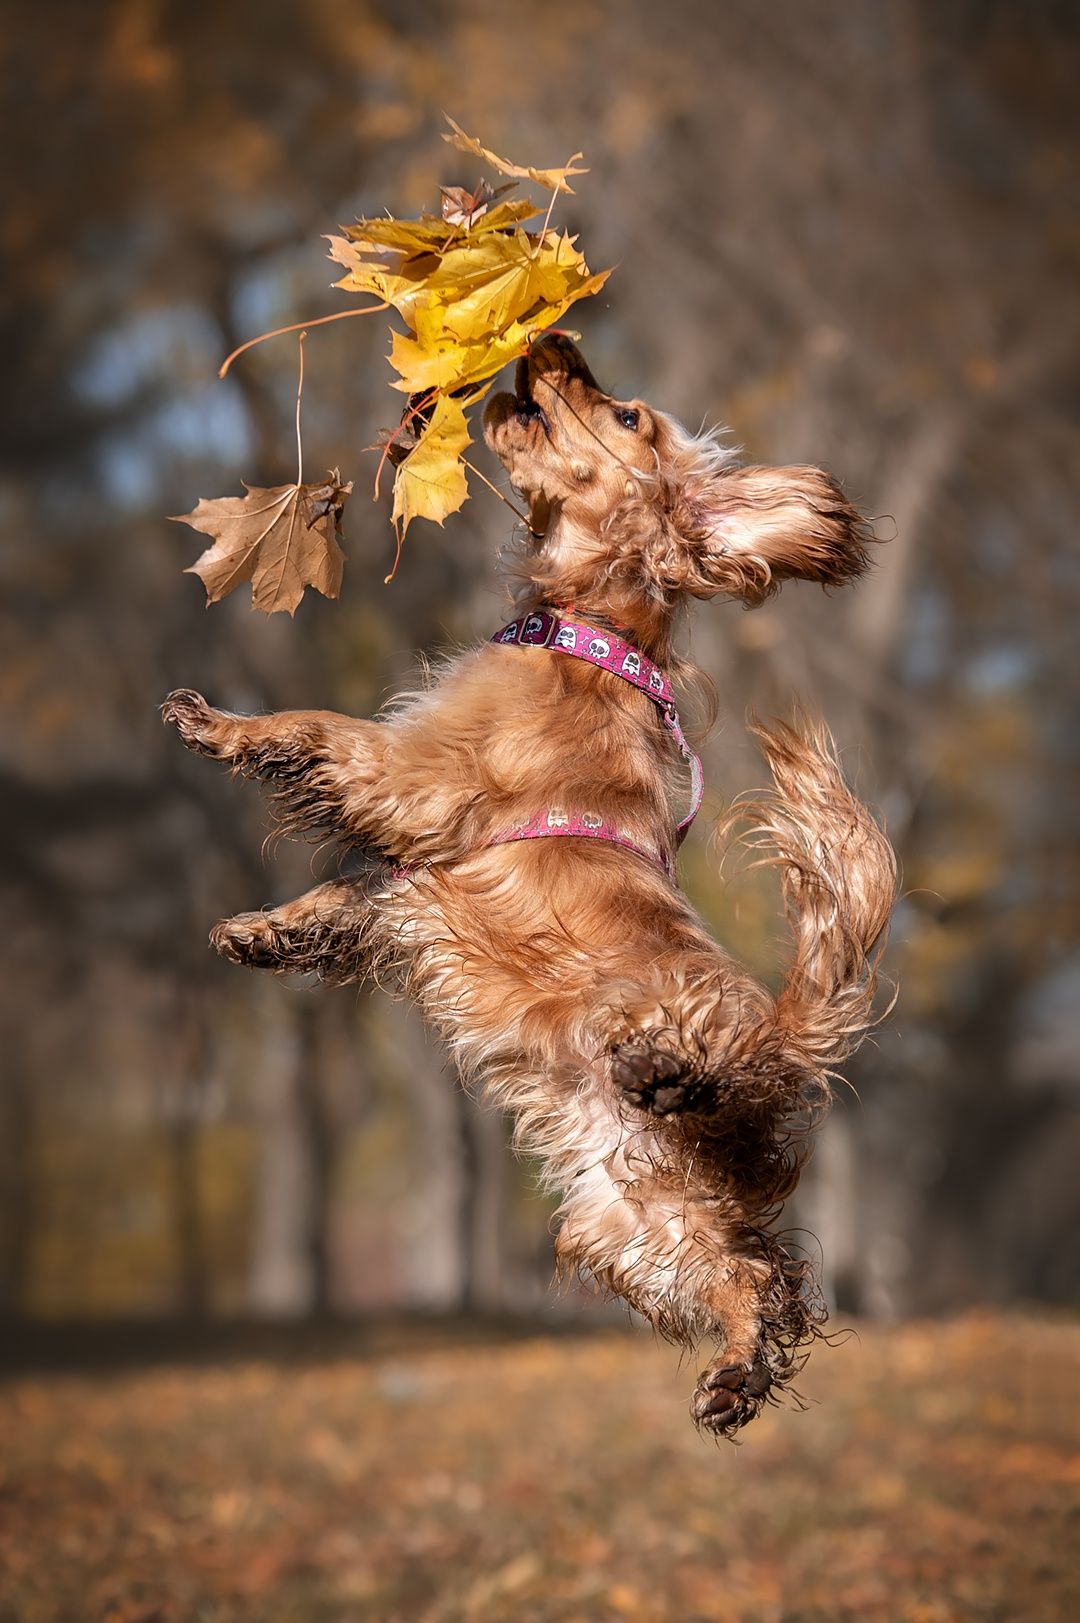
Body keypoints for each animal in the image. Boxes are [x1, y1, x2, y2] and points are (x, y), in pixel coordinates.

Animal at [166, 335, 889, 1441]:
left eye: (627, 415)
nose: (558, 342)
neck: (585, 634)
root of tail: (789, 1035)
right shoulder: (418, 879)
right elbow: (344, 898)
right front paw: (261, 930)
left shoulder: (415, 778)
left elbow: (312, 730)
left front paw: (220, 724)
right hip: (635, 1215)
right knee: (757, 1281)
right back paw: (733, 1376)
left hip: (693, 1058)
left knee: (735, 1135)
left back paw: (667, 1070)